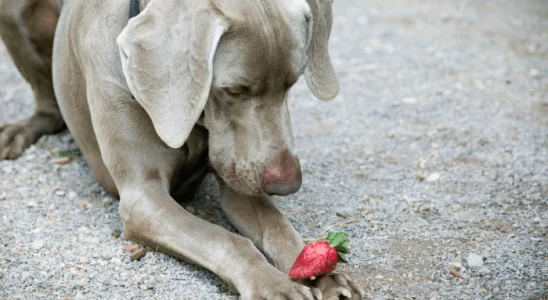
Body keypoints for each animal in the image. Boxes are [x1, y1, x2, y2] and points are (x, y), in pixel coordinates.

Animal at [1, 0, 364, 298]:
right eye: (234, 90)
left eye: (293, 82)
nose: (287, 185)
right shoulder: (143, 198)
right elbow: (224, 239)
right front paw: (271, 283)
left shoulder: (241, 179)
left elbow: (277, 226)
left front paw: (323, 274)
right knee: (48, 108)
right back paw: (17, 133)